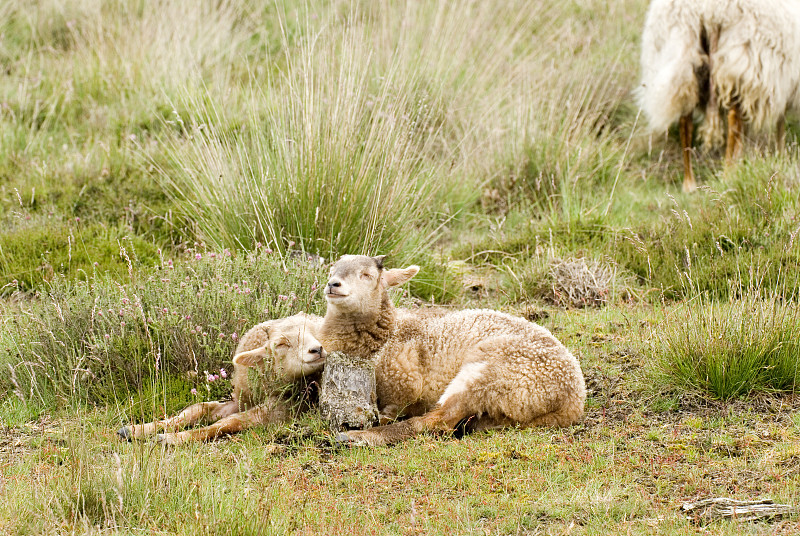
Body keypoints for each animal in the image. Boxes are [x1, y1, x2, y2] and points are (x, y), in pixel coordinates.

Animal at [115, 312, 324, 446]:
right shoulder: (239, 400)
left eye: (317, 334)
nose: (317, 349)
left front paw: (174, 438)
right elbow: (198, 409)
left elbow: (228, 423)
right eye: (281, 344)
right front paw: (137, 429)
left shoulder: (281, 411)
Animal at [318, 253, 588, 446]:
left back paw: (356, 438)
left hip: (491, 374)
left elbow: (397, 409)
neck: (384, 338)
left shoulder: (405, 383)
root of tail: (571, 401)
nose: (333, 284)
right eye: (331, 270)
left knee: (437, 422)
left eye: (366, 275)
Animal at [636, 0, 800, 192]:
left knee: (685, 118)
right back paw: (728, 174)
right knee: (734, 120)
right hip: (740, 62)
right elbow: (780, 122)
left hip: (683, 59)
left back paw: (689, 183)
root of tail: (710, 11)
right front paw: (781, 156)